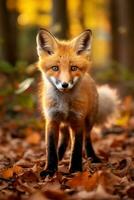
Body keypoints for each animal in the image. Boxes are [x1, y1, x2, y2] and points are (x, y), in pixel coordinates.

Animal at [35, 28, 118, 177]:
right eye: (55, 68)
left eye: (73, 68)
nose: (64, 84)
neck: (64, 102)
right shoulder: (52, 120)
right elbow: (50, 148)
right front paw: (50, 169)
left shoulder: (77, 120)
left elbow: (77, 148)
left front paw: (75, 169)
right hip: (63, 123)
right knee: (65, 138)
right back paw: (60, 156)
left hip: (89, 121)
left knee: (87, 139)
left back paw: (92, 157)